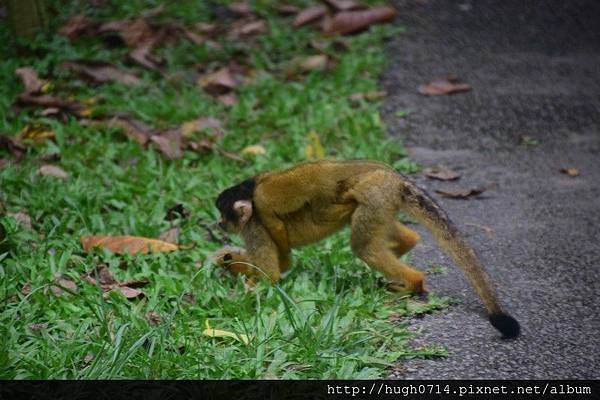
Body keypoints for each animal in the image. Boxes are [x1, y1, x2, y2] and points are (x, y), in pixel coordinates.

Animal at [214, 159, 520, 338]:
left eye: (224, 216)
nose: (219, 224)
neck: (252, 193)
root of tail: (396, 179)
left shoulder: (257, 221)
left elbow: (273, 272)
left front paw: (240, 281)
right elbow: (283, 263)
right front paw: (228, 262)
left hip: (375, 193)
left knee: (364, 247)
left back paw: (413, 283)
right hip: (383, 199)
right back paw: (407, 245)